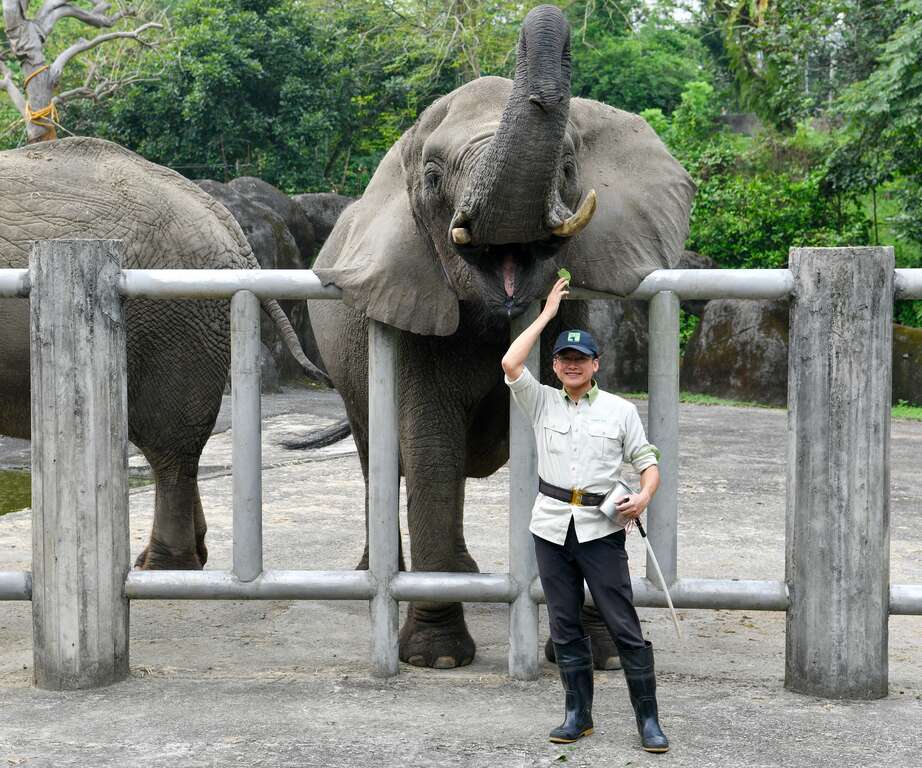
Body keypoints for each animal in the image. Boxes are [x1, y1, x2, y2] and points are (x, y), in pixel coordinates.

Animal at [308, 5, 694, 669]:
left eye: (568, 168)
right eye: (433, 177)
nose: (547, 24)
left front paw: (602, 655)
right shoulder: (414, 319)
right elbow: (431, 451)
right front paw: (438, 659)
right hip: (349, 375)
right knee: (376, 456)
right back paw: (374, 577)